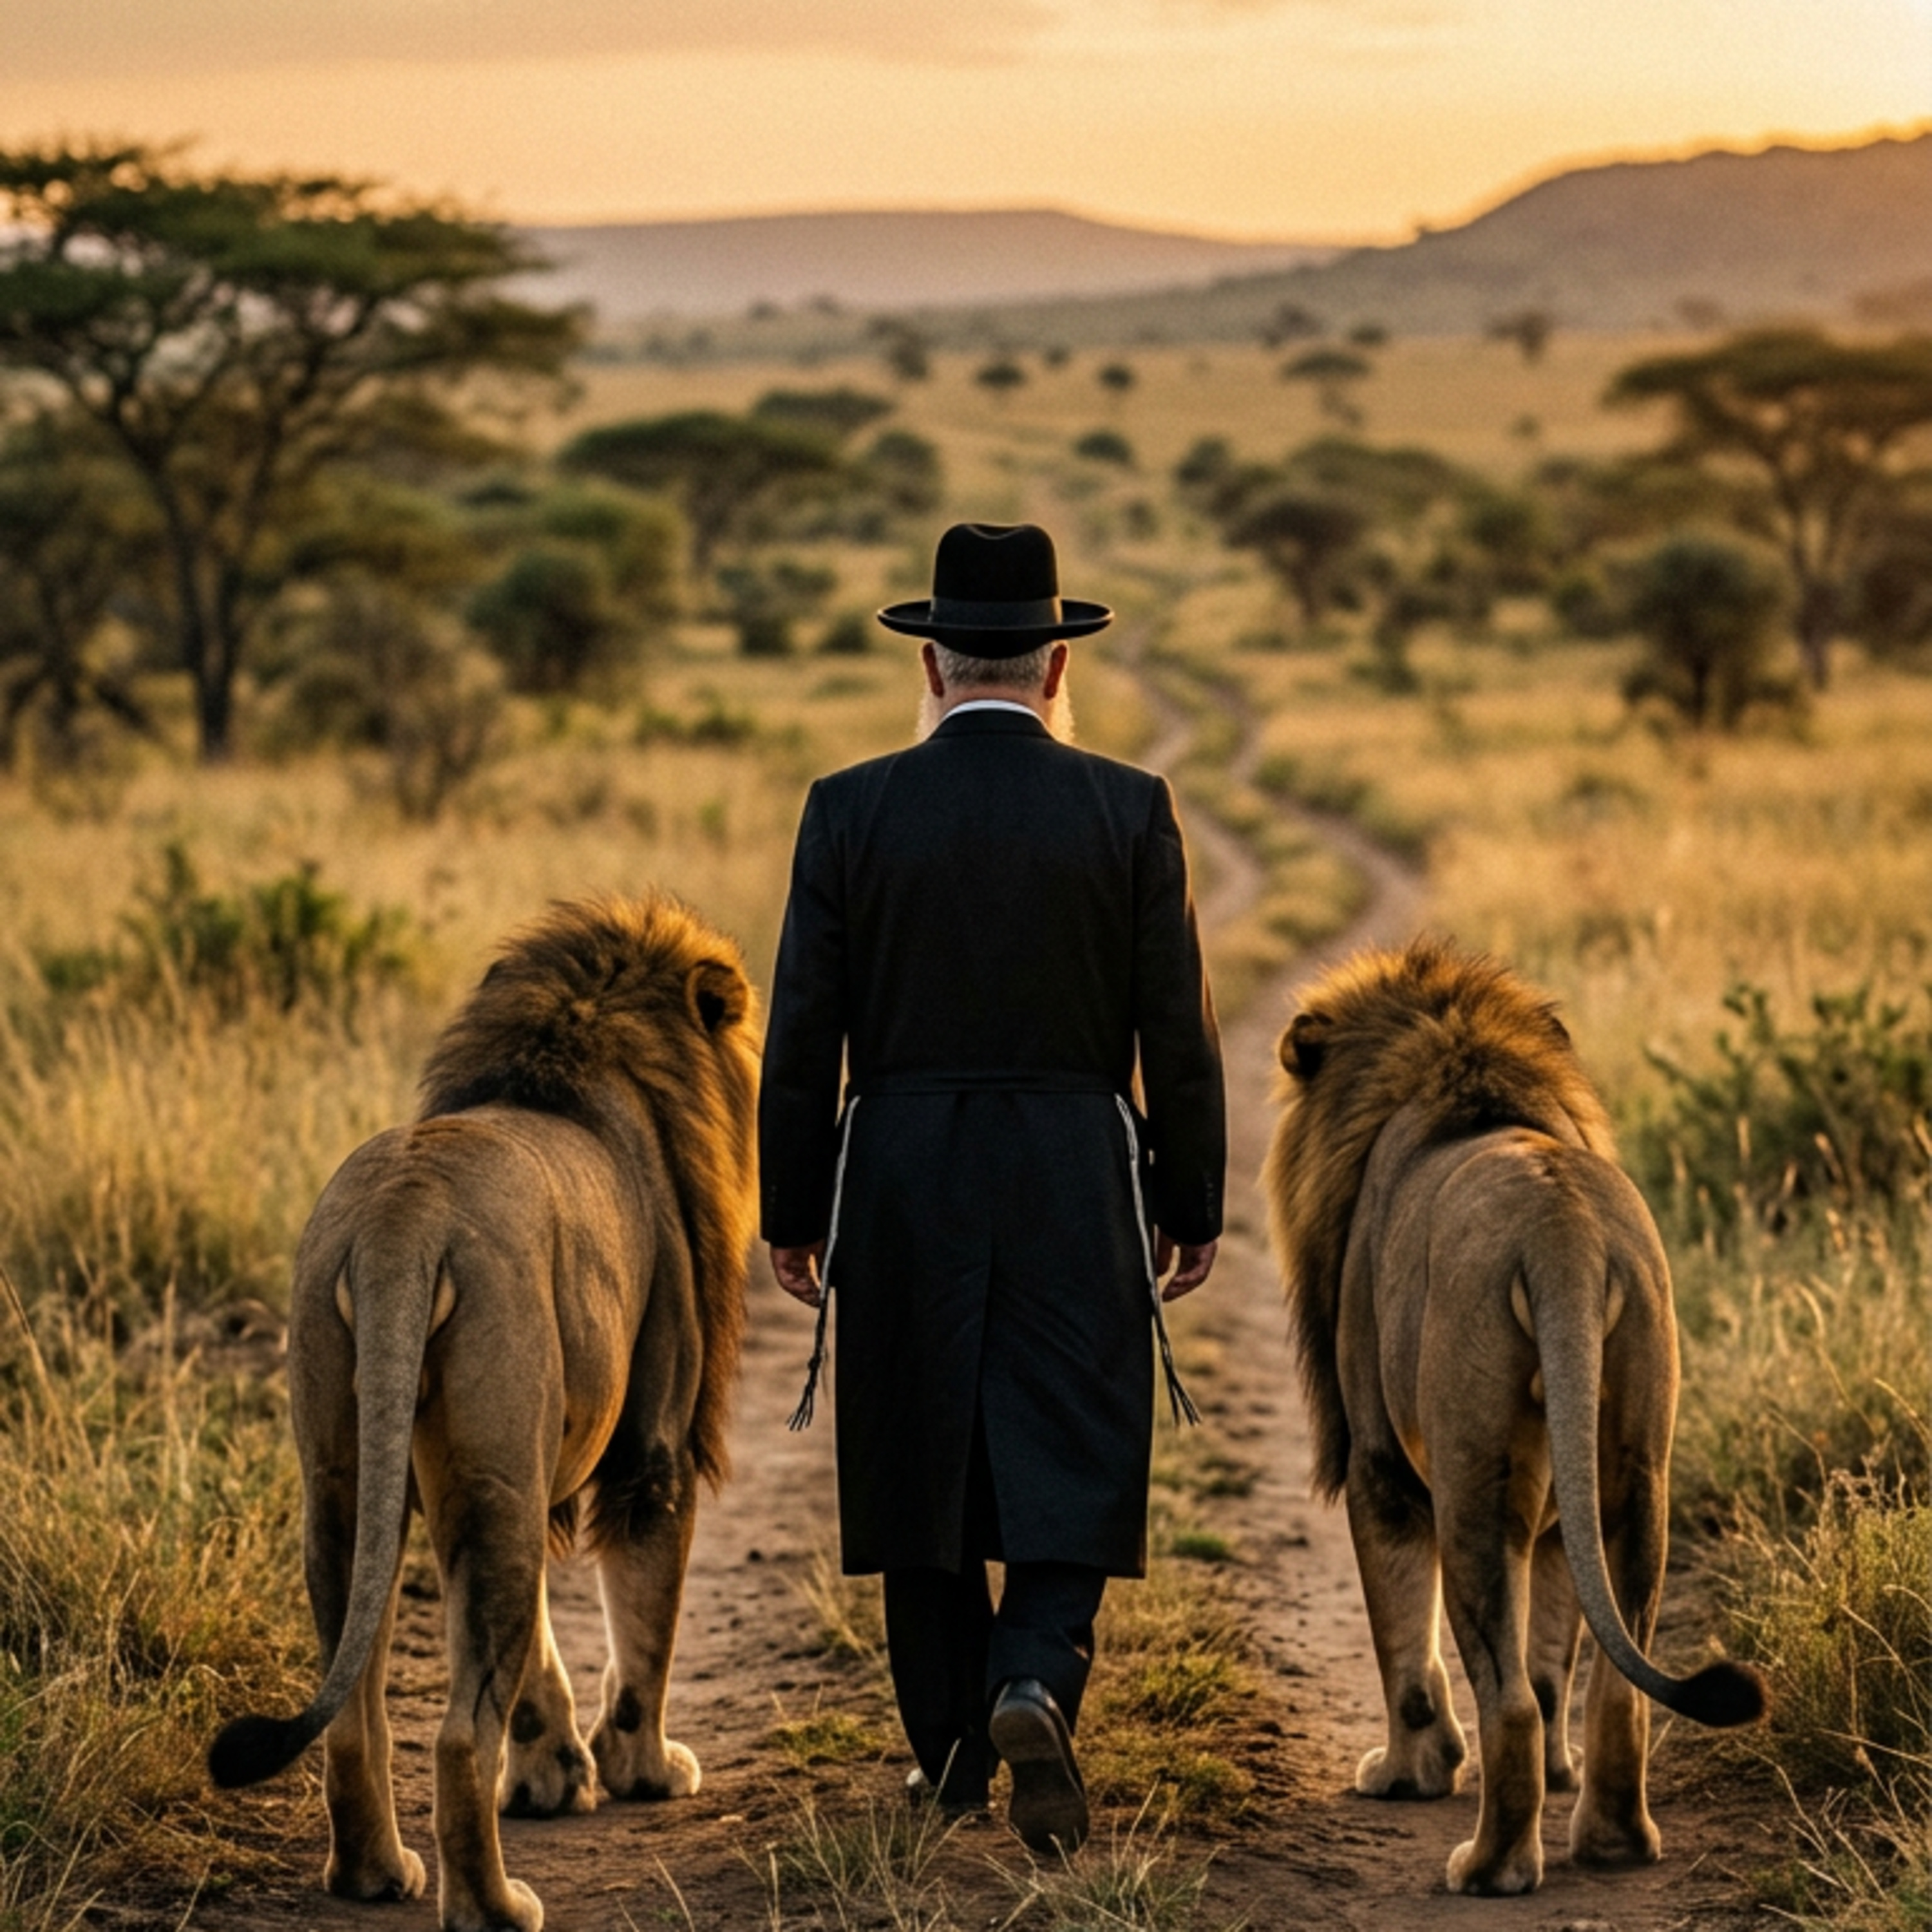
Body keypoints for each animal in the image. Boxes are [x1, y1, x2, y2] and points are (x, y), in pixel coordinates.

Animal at [209, 892, 759, 1932]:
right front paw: (641, 1770)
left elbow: (539, 1647)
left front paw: (552, 1778)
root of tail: (403, 1215)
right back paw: (496, 1905)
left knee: (357, 1712)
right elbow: (646, 1621)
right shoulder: (654, 1447)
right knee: (461, 1735)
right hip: (496, 1472)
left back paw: (376, 1874)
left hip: (352, 1480)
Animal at [1263, 938, 1763, 1898]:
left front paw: (1408, 1774)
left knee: (1510, 1700)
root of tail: (1562, 1232)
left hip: (1471, 1484)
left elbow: (1403, 1641)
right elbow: (1556, 1651)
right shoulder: (1562, 1512)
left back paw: (1489, 1865)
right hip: (1631, 1476)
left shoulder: (1378, 1468)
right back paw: (1610, 1840)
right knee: (1609, 1685)